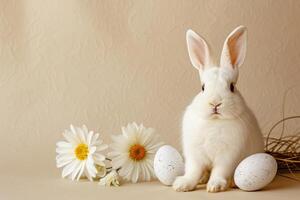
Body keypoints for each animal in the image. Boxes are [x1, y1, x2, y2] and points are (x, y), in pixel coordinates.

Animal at [172, 26, 264, 192]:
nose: (215, 103)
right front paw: (182, 185)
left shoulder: (227, 157)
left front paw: (215, 186)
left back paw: (231, 182)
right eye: (202, 87)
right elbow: (193, 170)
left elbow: (219, 171)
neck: (214, 121)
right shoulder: (195, 155)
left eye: (232, 87)